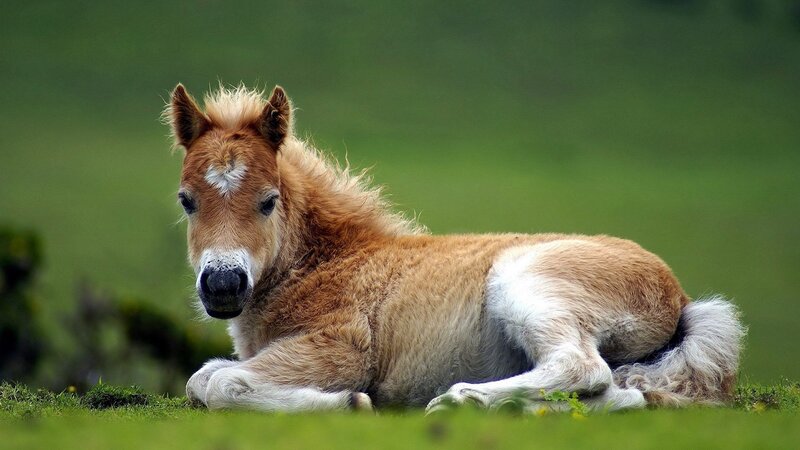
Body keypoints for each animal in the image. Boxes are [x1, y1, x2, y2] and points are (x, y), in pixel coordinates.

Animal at [165, 83, 745, 413]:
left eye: (268, 201)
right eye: (186, 200)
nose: (222, 285)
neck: (328, 263)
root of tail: (680, 298)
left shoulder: (337, 348)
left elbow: (222, 385)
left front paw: (350, 402)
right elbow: (202, 378)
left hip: (526, 283)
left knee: (583, 368)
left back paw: (460, 400)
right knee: (619, 394)